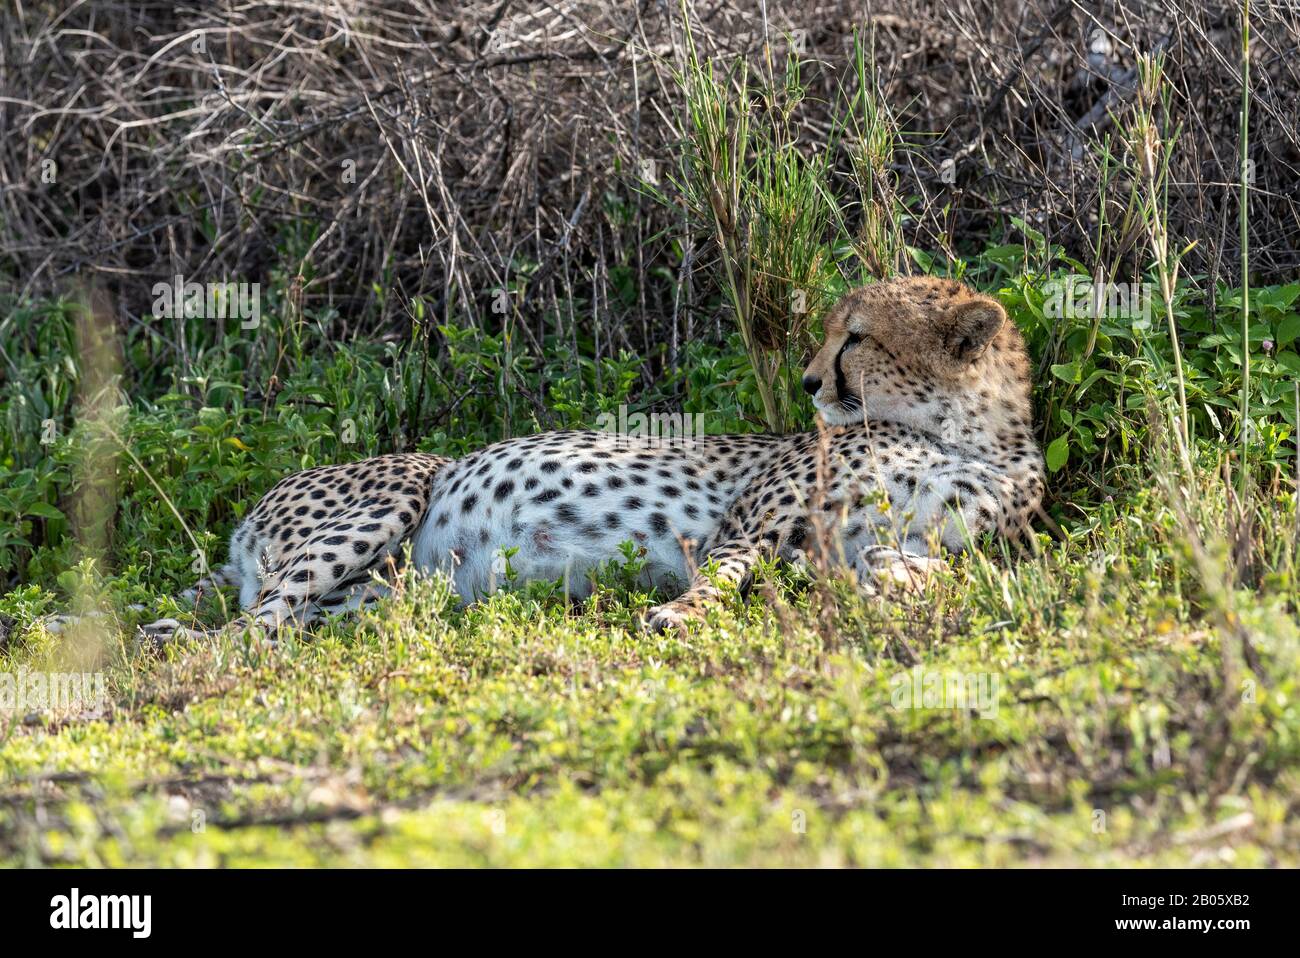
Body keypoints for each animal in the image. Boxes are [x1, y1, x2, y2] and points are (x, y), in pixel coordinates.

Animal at [48, 274, 1045, 642]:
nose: (806, 382)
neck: (966, 434)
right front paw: (679, 614)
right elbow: (724, 569)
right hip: (396, 487)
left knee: (272, 626)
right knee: (244, 634)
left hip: (381, 596)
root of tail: (248, 520)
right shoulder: (757, 517)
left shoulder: (873, 546)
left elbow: (928, 572)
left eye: (856, 337)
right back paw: (175, 641)